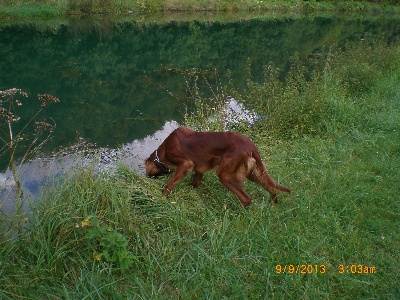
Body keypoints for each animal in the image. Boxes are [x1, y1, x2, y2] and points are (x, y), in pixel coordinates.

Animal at [145, 126, 290, 206]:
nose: (146, 177)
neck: (163, 151)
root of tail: (251, 146)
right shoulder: (199, 170)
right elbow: (195, 182)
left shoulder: (185, 163)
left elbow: (169, 184)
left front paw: (162, 199)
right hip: (252, 173)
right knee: (270, 187)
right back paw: (275, 206)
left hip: (225, 175)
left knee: (246, 198)